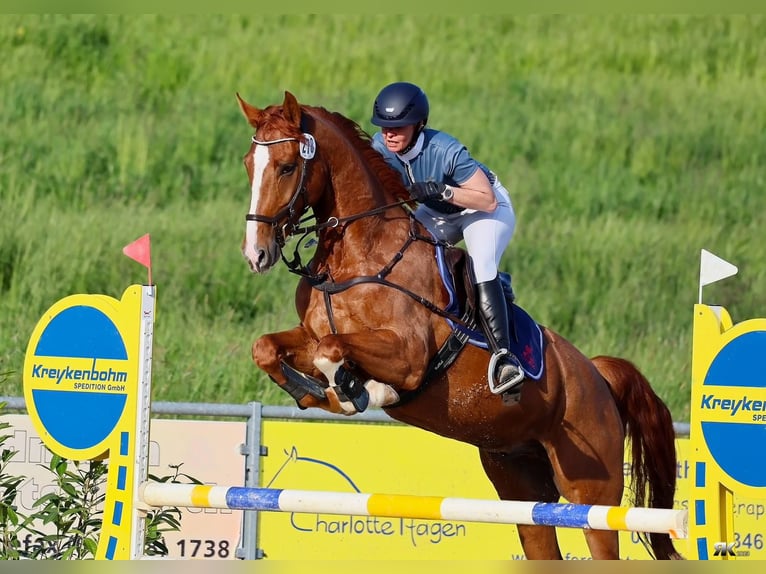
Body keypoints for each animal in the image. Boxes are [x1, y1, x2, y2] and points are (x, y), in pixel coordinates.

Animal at [236, 92, 684, 560]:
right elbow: (268, 347)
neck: (358, 255)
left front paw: (363, 392)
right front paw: (313, 392)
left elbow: (334, 352)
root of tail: (596, 374)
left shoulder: (409, 356)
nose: (256, 254)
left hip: (590, 491)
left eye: (287, 166)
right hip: (521, 485)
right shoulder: (313, 336)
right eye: (250, 163)